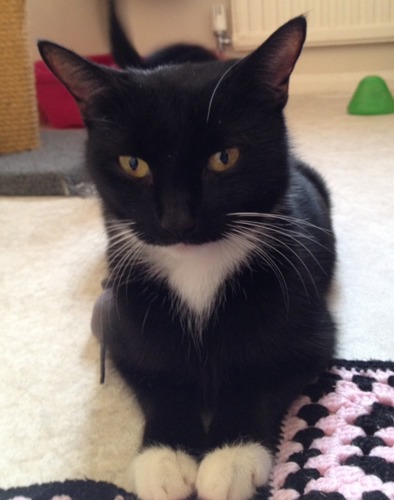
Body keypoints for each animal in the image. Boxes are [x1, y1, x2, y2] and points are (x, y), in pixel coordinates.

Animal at [39, 15, 336, 500]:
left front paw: (230, 459)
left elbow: (262, 376)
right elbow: (157, 376)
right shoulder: (127, 326)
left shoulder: (307, 327)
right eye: (133, 164)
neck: (197, 267)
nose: (177, 220)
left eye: (224, 158)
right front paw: (164, 459)